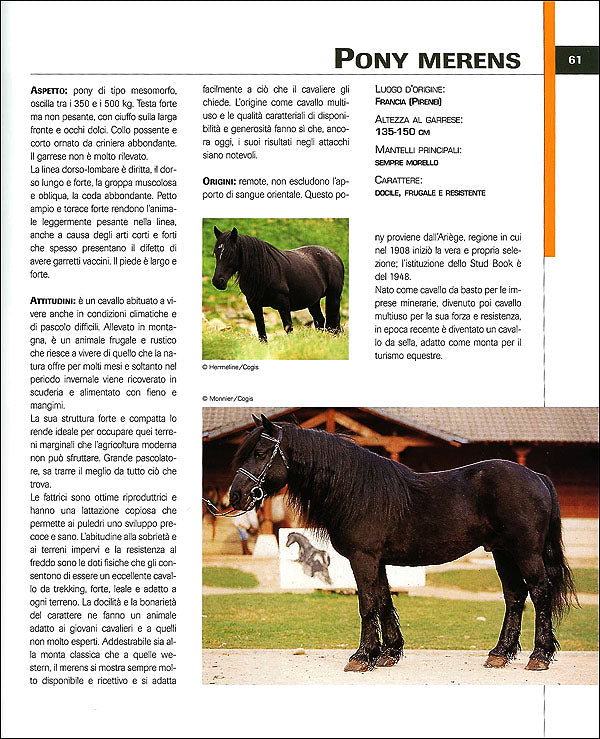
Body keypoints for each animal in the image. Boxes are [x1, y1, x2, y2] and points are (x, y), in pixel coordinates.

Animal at [211, 226, 345, 342]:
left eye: (231, 253)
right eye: (216, 253)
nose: (217, 281)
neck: (265, 271)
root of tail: (334, 255)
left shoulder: (283, 305)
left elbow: (288, 328)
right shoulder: (254, 305)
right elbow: (261, 332)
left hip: (333, 297)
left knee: (334, 323)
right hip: (313, 301)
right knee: (320, 321)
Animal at [228, 414, 578, 673]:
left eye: (260, 453)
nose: (236, 495)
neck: (356, 490)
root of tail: (536, 476)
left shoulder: (363, 558)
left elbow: (368, 603)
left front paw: (362, 657)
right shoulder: (377, 560)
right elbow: (384, 600)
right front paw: (388, 653)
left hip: (525, 553)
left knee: (540, 592)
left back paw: (539, 656)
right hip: (503, 553)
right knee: (515, 596)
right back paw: (499, 654)